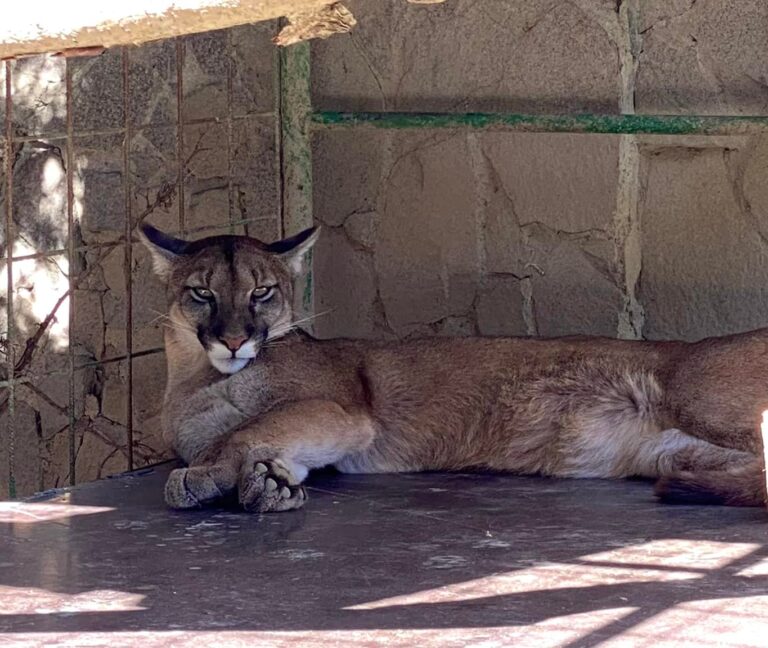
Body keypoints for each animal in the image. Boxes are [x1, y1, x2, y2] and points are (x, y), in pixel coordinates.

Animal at [140, 223, 768, 512]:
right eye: (202, 293)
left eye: (262, 292)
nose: (234, 338)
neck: (199, 381)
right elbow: (262, 441)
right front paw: (271, 483)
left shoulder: (338, 410)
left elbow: (243, 431)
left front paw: (204, 476)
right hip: (677, 447)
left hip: (704, 402)